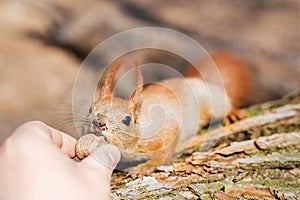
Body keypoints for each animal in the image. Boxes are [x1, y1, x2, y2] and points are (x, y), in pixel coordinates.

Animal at [75, 52, 253, 177]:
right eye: (90, 109)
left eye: (127, 119)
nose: (98, 122)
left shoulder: (167, 129)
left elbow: (165, 152)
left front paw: (147, 166)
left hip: (211, 101)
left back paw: (232, 114)